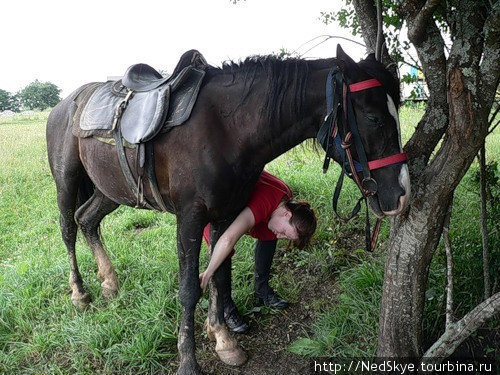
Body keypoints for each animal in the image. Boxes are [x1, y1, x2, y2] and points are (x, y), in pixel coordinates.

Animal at [45, 46, 408, 375]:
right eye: (373, 117)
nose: (401, 195)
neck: (226, 129)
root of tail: (64, 104)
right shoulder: (190, 219)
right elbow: (190, 288)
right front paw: (188, 362)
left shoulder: (225, 213)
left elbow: (219, 273)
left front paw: (224, 341)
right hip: (67, 181)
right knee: (68, 227)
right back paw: (80, 292)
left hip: (111, 189)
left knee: (87, 219)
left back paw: (109, 282)